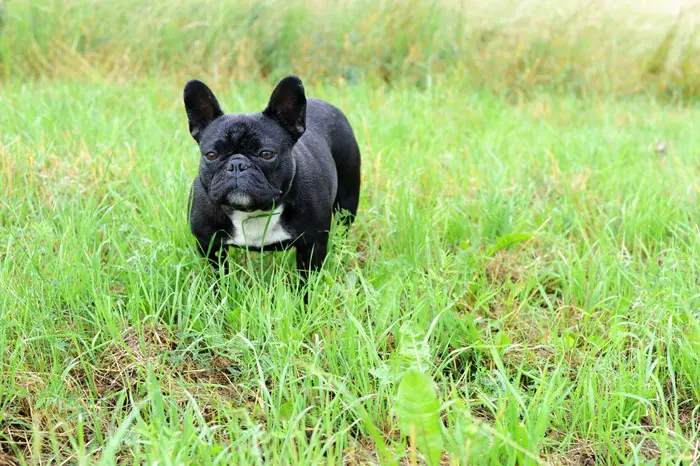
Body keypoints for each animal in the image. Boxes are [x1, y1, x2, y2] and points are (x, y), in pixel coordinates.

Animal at [183, 75, 360, 280]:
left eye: (266, 154)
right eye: (211, 155)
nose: (237, 164)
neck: (252, 212)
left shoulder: (313, 245)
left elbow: (306, 279)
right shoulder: (209, 244)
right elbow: (218, 275)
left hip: (347, 200)